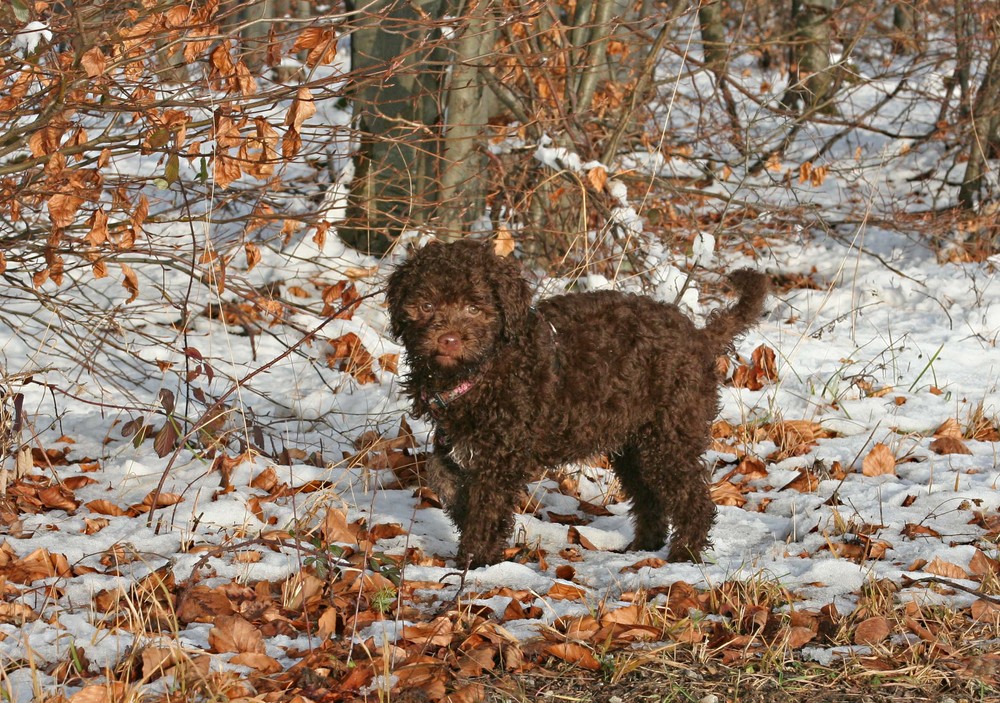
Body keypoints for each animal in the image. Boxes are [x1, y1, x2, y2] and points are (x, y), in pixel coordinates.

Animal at [386, 239, 768, 568]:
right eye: (426, 306)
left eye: (474, 307)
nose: (448, 340)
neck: (484, 367)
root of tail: (699, 337)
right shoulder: (456, 440)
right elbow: (444, 481)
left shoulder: (500, 459)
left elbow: (486, 509)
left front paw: (476, 562)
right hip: (635, 444)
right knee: (650, 497)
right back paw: (642, 547)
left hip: (668, 436)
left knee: (693, 499)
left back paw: (683, 555)